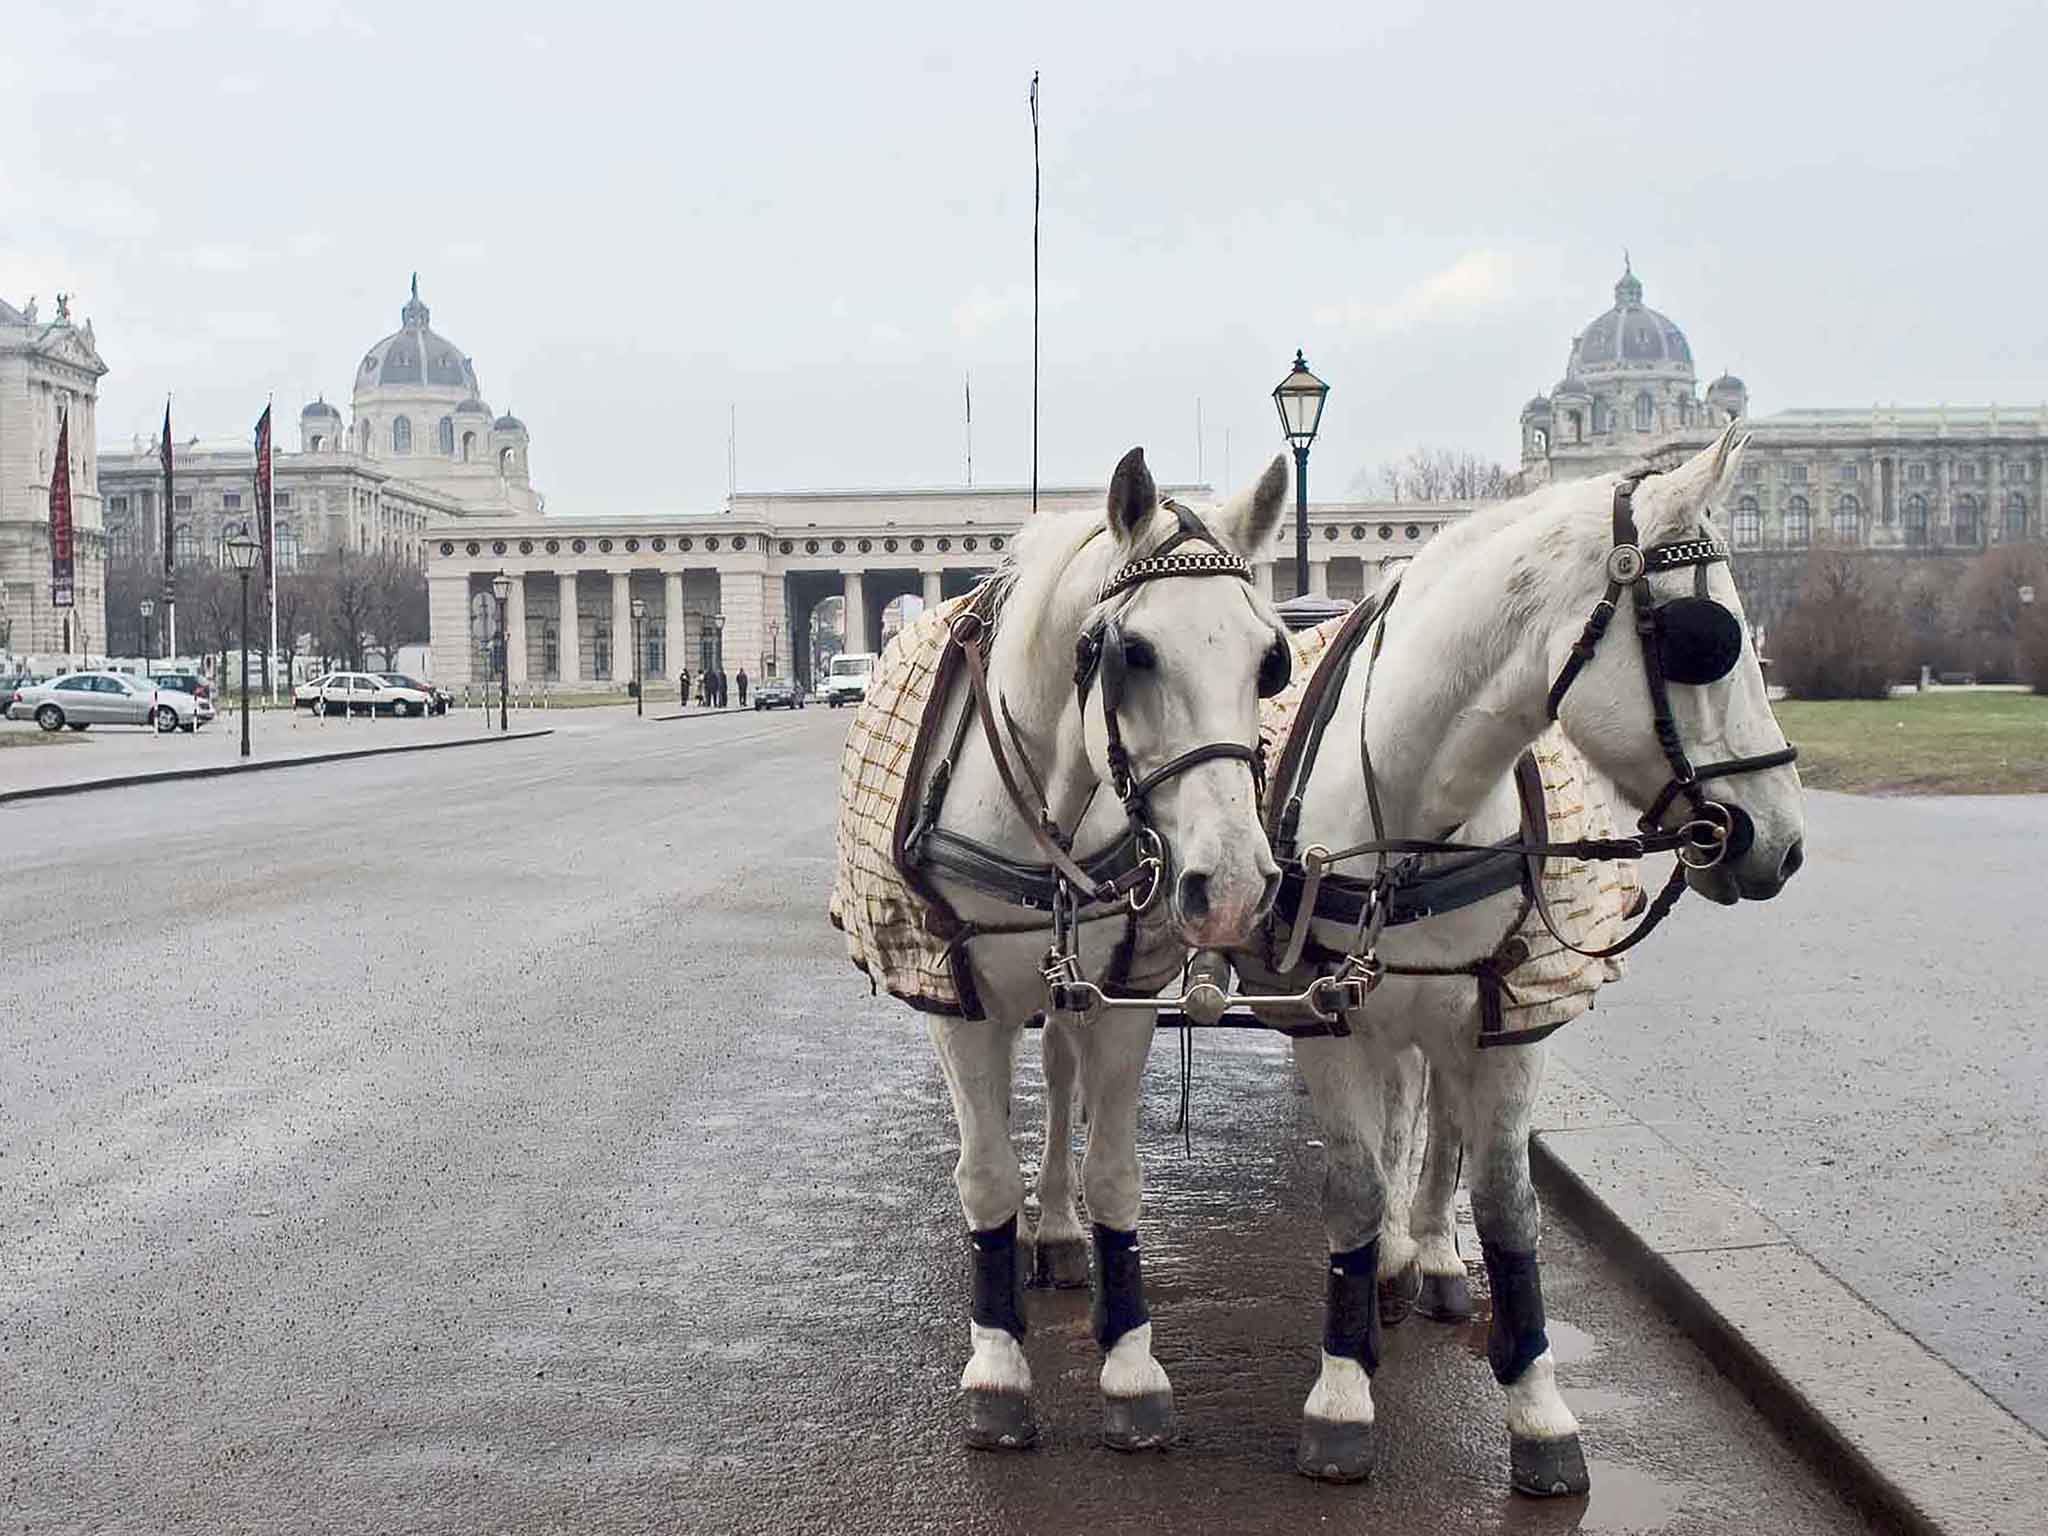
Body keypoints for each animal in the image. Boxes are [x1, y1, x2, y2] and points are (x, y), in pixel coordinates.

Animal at [888, 448, 1286, 1458]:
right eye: (1133, 653)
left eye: (1269, 658)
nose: (1233, 885)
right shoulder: (961, 1005)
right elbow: (984, 1174)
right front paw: (997, 1365)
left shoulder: (1125, 996)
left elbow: (1113, 1171)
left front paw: (1132, 1364)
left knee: (1062, 1081)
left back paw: (1060, 1231)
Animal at [1220, 428, 1802, 1499]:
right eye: (1706, 639)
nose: (1781, 843)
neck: (1415, 821)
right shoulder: (1331, 1017)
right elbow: (1353, 1187)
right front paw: (1341, 1387)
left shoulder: (1509, 1021)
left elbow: (1505, 1199)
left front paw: (1537, 1408)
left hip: (1450, 1021)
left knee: (1436, 1125)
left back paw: (1431, 1257)